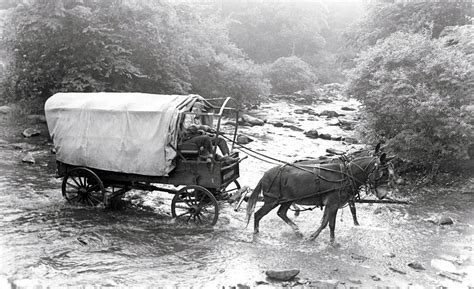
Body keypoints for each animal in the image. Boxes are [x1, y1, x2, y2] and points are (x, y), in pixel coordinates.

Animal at [246, 153, 390, 243]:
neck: (347, 175)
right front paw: (329, 242)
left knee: (281, 213)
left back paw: (297, 231)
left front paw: (316, 238)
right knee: (258, 214)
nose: (383, 195)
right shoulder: (333, 204)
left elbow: (326, 223)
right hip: (272, 200)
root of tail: (265, 175)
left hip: (287, 200)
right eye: (383, 173)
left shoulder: (331, 204)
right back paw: (256, 232)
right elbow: (330, 224)